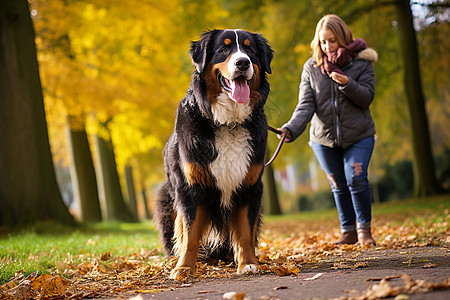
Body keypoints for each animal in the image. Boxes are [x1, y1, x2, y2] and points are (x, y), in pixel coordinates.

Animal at [155, 29, 274, 280]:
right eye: (224, 49)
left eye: (250, 50)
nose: (242, 62)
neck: (228, 123)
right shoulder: (191, 188)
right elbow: (190, 233)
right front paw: (184, 268)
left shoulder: (250, 186)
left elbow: (245, 231)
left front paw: (248, 263)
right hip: (166, 205)